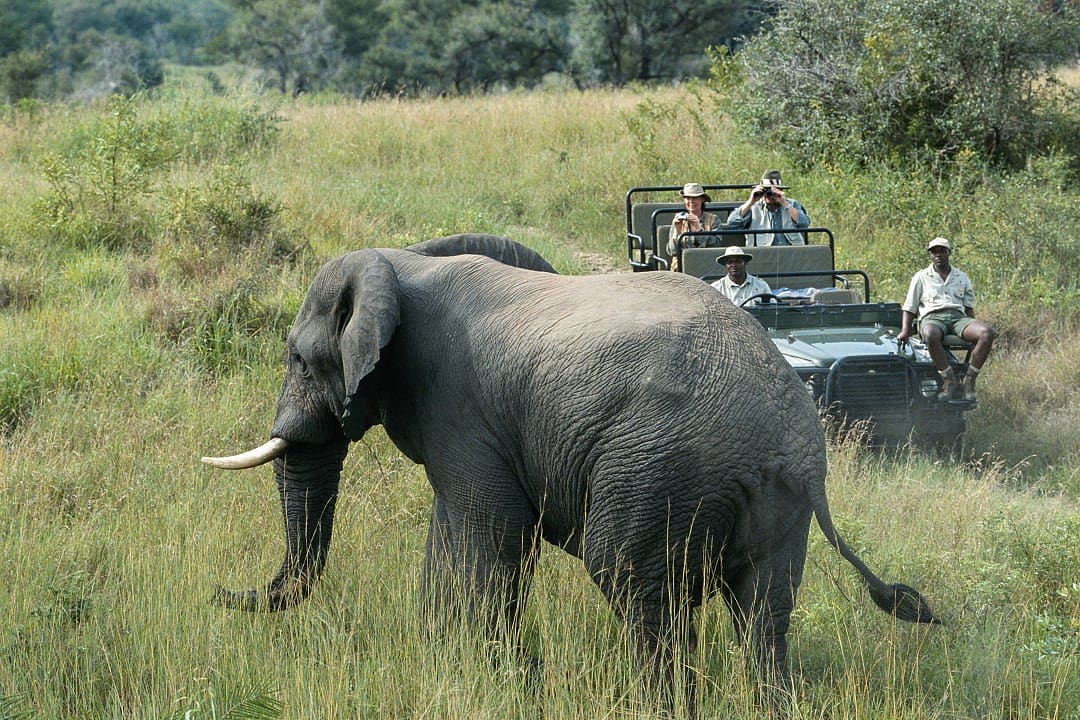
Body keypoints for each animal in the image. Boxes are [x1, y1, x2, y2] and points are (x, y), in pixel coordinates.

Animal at [203, 233, 939, 712]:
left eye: (299, 360)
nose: (219, 594)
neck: (403, 263)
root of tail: (789, 435)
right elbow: (457, 537)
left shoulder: (460, 405)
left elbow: (491, 534)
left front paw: (494, 681)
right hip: (770, 501)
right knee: (763, 606)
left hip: (657, 466)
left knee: (636, 584)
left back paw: (659, 707)